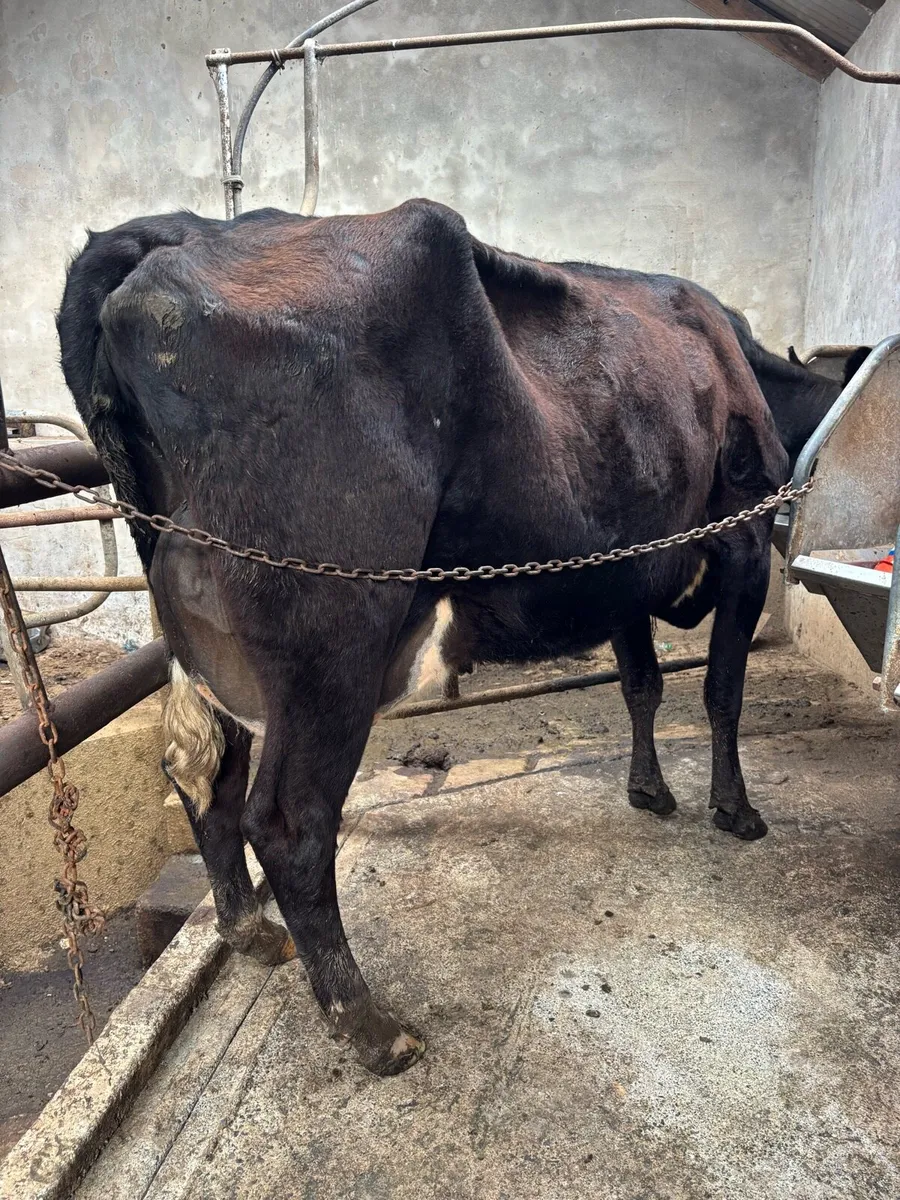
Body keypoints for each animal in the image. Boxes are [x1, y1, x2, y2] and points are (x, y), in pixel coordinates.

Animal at [58, 199, 791, 1076]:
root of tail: (186, 230)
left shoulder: (624, 574)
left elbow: (642, 685)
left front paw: (649, 791)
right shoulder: (746, 539)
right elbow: (721, 692)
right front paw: (735, 811)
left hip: (198, 637)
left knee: (204, 769)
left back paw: (252, 934)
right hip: (332, 641)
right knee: (289, 821)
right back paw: (370, 1024)